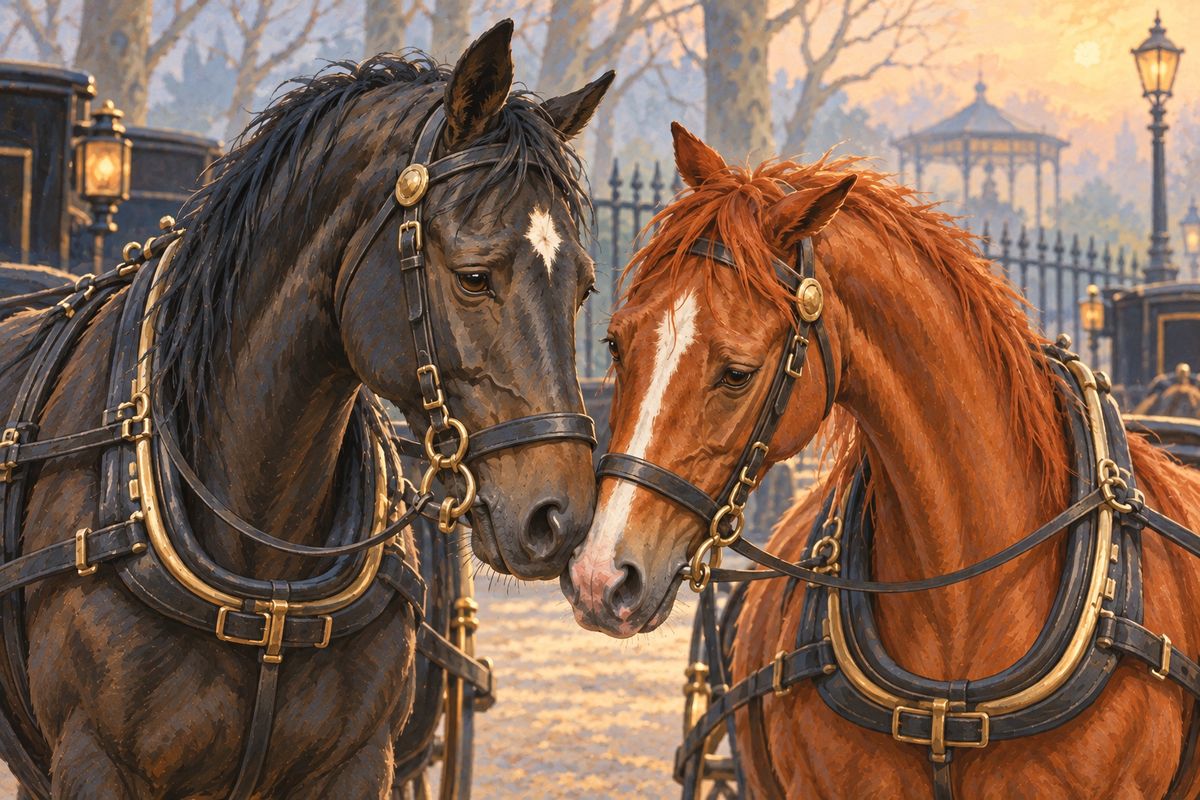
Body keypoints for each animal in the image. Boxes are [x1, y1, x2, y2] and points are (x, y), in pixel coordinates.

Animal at [0, 20, 611, 797]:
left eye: (583, 285)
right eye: (475, 276)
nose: (559, 515)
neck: (265, 555)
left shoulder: (360, 762)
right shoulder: (92, 761)